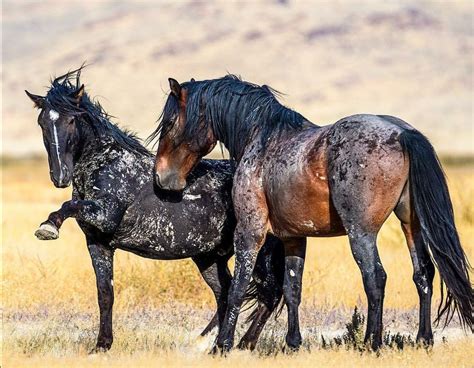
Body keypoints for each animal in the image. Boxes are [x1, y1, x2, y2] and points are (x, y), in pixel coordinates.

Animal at [150, 75, 472, 354]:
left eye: (170, 122)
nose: (161, 177)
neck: (263, 139)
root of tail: (404, 133)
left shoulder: (250, 231)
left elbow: (238, 287)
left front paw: (222, 345)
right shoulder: (294, 238)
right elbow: (293, 287)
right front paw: (293, 343)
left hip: (362, 232)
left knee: (375, 277)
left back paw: (371, 342)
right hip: (411, 224)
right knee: (423, 274)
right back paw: (423, 339)